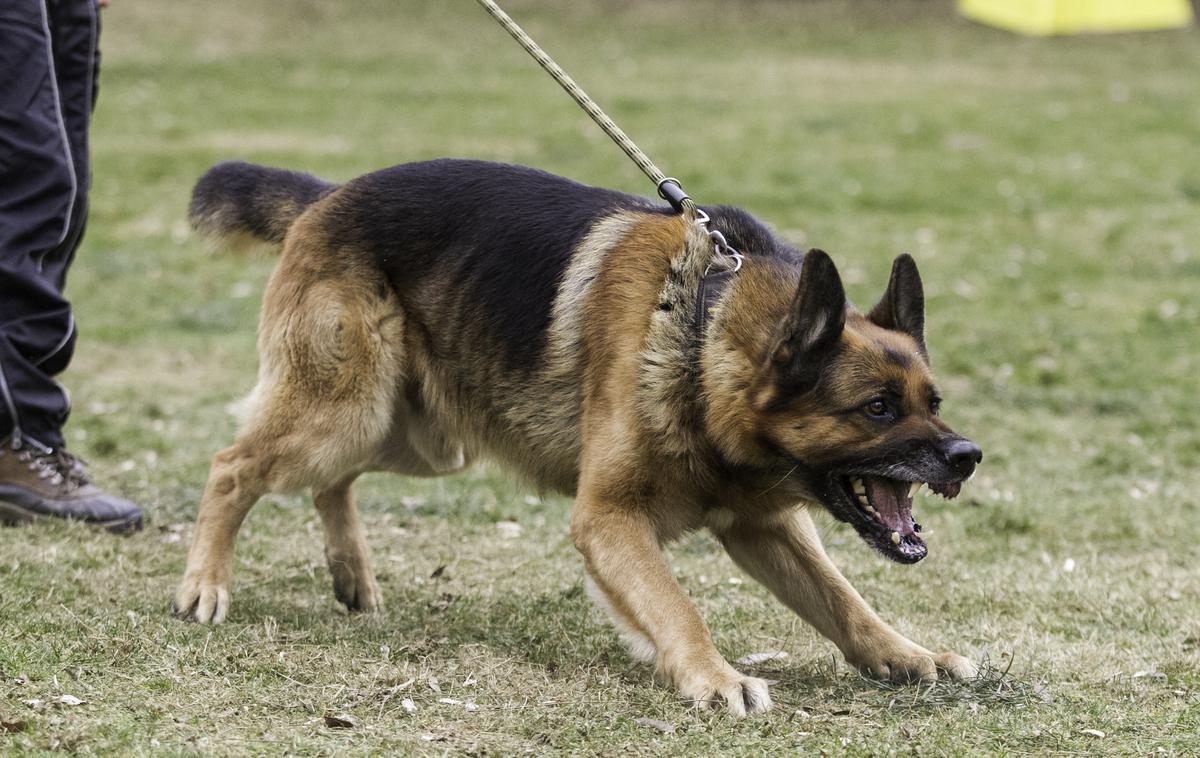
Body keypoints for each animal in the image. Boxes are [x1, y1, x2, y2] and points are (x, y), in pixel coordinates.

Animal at [177, 157, 984, 714]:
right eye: (876, 408)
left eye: (934, 400)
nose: (967, 457)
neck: (705, 333)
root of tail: (331, 195)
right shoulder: (608, 519)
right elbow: (677, 605)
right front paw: (715, 677)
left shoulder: (765, 528)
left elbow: (844, 601)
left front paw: (908, 656)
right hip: (345, 413)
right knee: (232, 465)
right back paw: (205, 586)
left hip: (421, 438)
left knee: (331, 480)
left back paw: (350, 575)